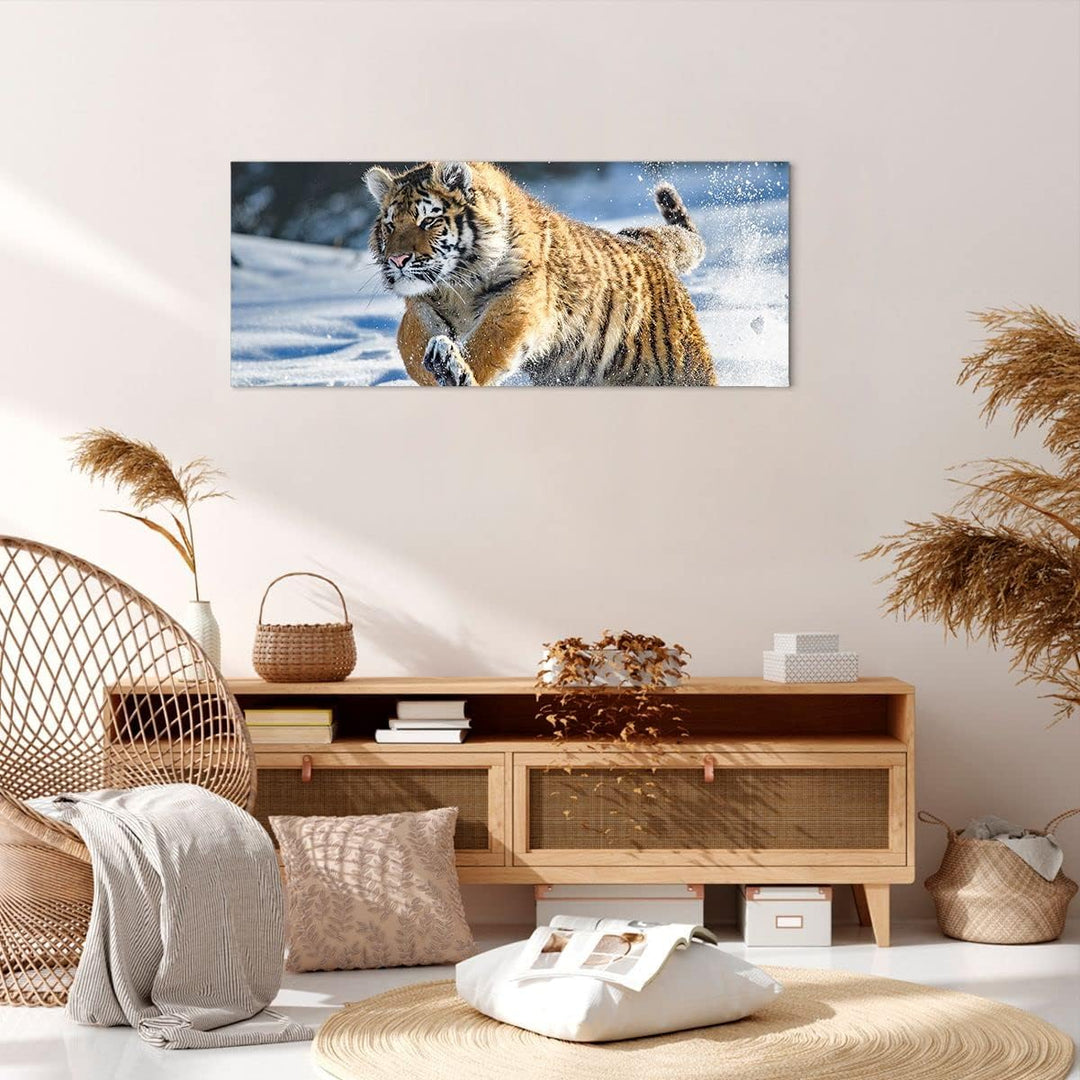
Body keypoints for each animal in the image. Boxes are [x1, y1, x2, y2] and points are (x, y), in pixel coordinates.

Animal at [363, 161, 716, 386]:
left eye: (428, 221)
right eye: (391, 225)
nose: (397, 259)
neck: (457, 285)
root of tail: (644, 245)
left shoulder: (518, 300)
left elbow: (486, 344)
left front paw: (456, 372)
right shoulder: (421, 306)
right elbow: (412, 348)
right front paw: (437, 368)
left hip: (687, 369)